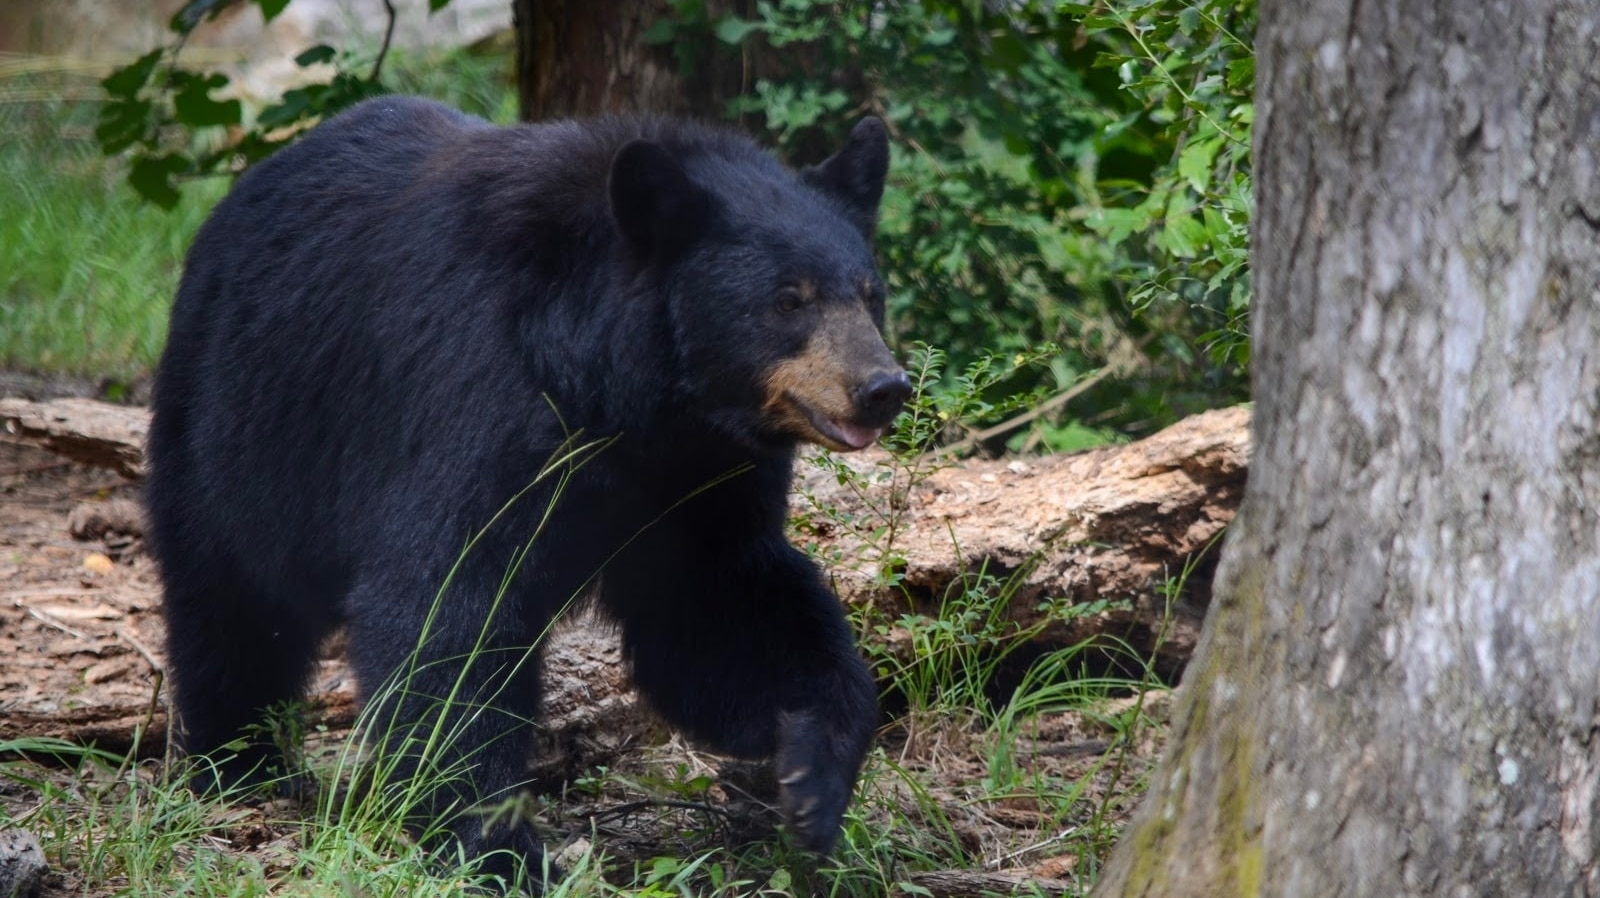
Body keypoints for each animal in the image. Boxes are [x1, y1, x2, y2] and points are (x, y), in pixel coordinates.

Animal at [143, 95, 909, 887]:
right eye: (788, 300)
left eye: (871, 295)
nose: (883, 388)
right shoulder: (478, 392)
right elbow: (447, 604)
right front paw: (495, 846)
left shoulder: (701, 473)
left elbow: (726, 606)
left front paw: (812, 776)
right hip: (235, 423)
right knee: (227, 599)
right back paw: (241, 762)